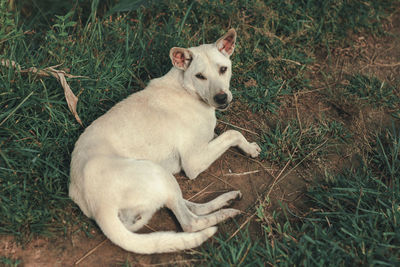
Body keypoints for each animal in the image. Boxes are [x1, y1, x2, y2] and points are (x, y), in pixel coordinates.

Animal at [70, 29, 260, 255]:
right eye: (200, 76)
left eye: (223, 69)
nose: (222, 98)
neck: (186, 88)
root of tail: (99, 208)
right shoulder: (193, 162)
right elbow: (233, 133)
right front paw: (250, 148)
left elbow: (225, 134)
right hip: (158, 174)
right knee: (190, 222)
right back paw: (224, 215)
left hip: (161, 183)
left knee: (189, 206)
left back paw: (226, 201)